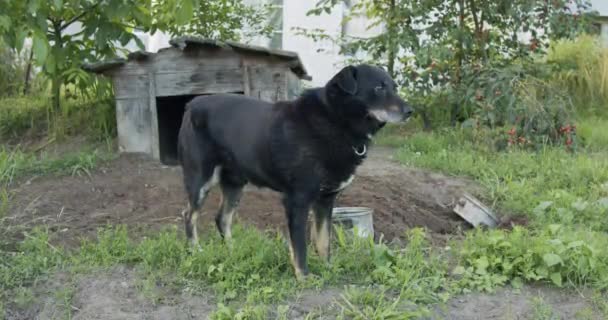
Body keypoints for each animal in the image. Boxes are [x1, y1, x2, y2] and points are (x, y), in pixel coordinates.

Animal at [177, 63, 414, 278]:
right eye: (379, 88)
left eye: (394, 87)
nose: (411, 111)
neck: (335, 120)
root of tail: (193, 103)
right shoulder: (297, 200)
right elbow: (300, 245)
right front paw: (304, 277)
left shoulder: (325, 200)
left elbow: (324, 240)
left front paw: (328, 268)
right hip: (201, 179)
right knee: (189, 215)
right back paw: (195, 251)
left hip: (235, 184)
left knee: (222, 219)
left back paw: (232, 251)